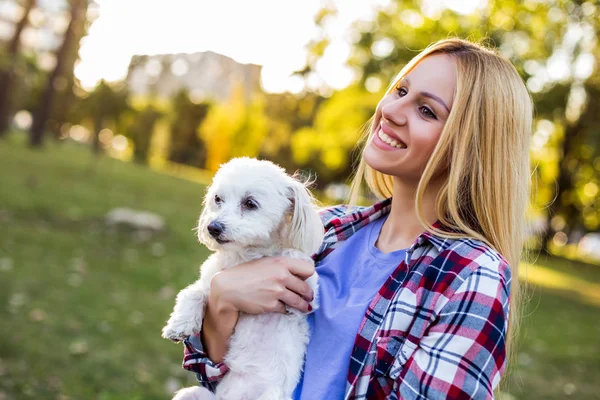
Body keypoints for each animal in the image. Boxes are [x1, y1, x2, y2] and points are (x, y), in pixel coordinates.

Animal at [162, 157, 326, 400]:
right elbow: (192, 293)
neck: (245, 257)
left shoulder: (308, 296)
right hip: (191, 395)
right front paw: (180, 323)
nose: (212, 227)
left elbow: (298, 262)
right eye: (217, 199)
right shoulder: (213, 282)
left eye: (250, 203)